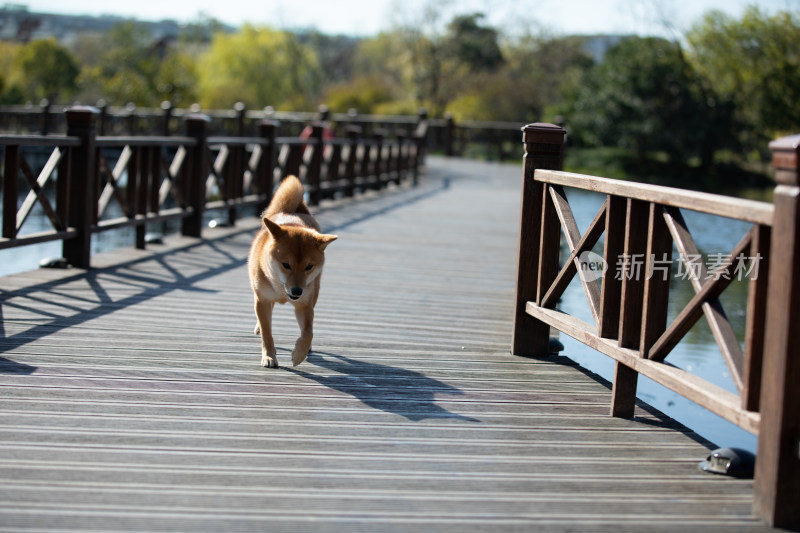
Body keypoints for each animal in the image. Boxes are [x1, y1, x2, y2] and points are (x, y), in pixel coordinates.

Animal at [250, 175, 338, 366]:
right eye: (286, 265)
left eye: (309, 267)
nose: (297, 291)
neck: (281, 291)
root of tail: (293, 211)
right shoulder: (262, 300)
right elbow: (267, 333)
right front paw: (269, 356)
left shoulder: (305, 304)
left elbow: (308, 332)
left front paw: (299, 354)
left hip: (314, 292)